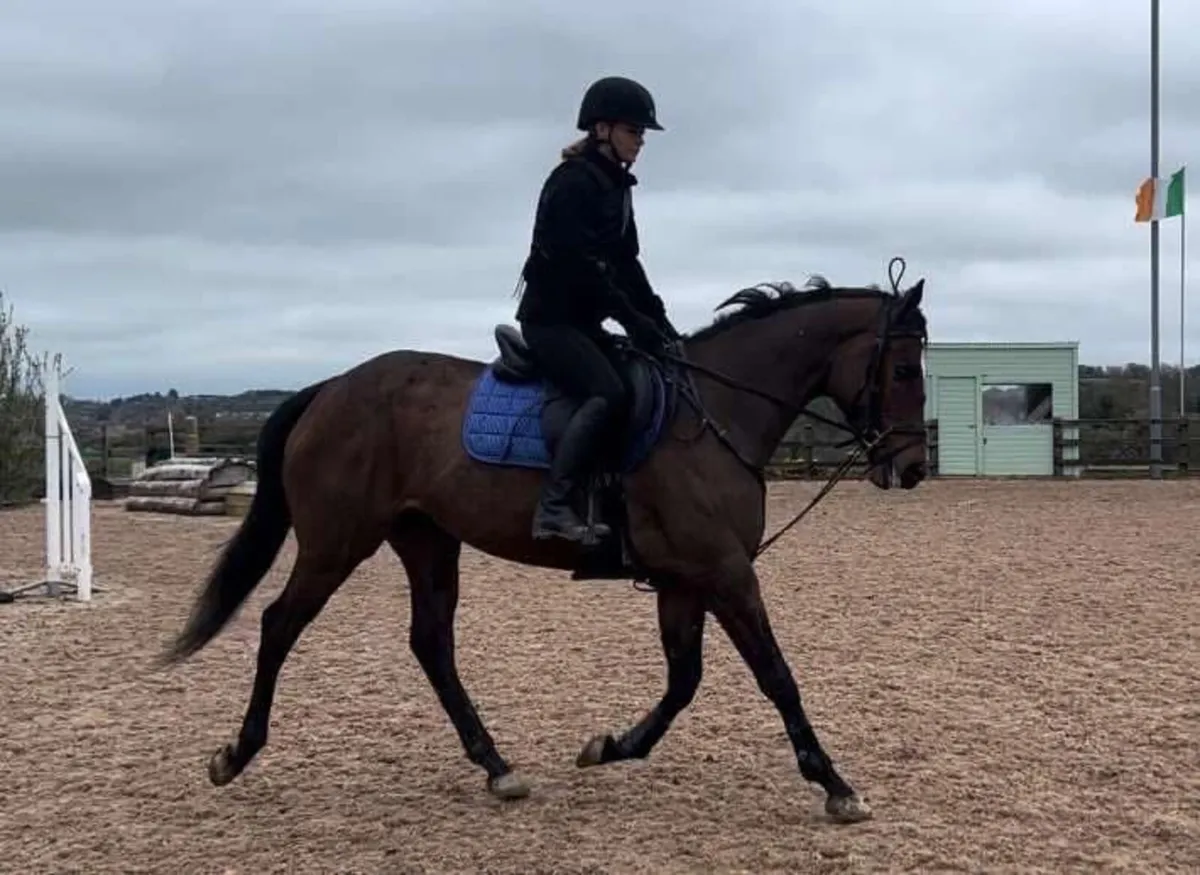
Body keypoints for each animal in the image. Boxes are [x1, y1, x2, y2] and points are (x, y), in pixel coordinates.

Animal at [162, 259, 929, 824]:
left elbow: (684, 680)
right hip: (336, 541)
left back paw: (497, 767)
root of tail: (330, 388)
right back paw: (236, 754)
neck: (714, 413)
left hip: (427, 540)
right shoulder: (725, 571)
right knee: (279, 624)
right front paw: (836, 785)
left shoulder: (684, 578)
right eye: (901, 369)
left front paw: (610, 746)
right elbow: (775, 674)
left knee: (431, 643)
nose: (913, 467)